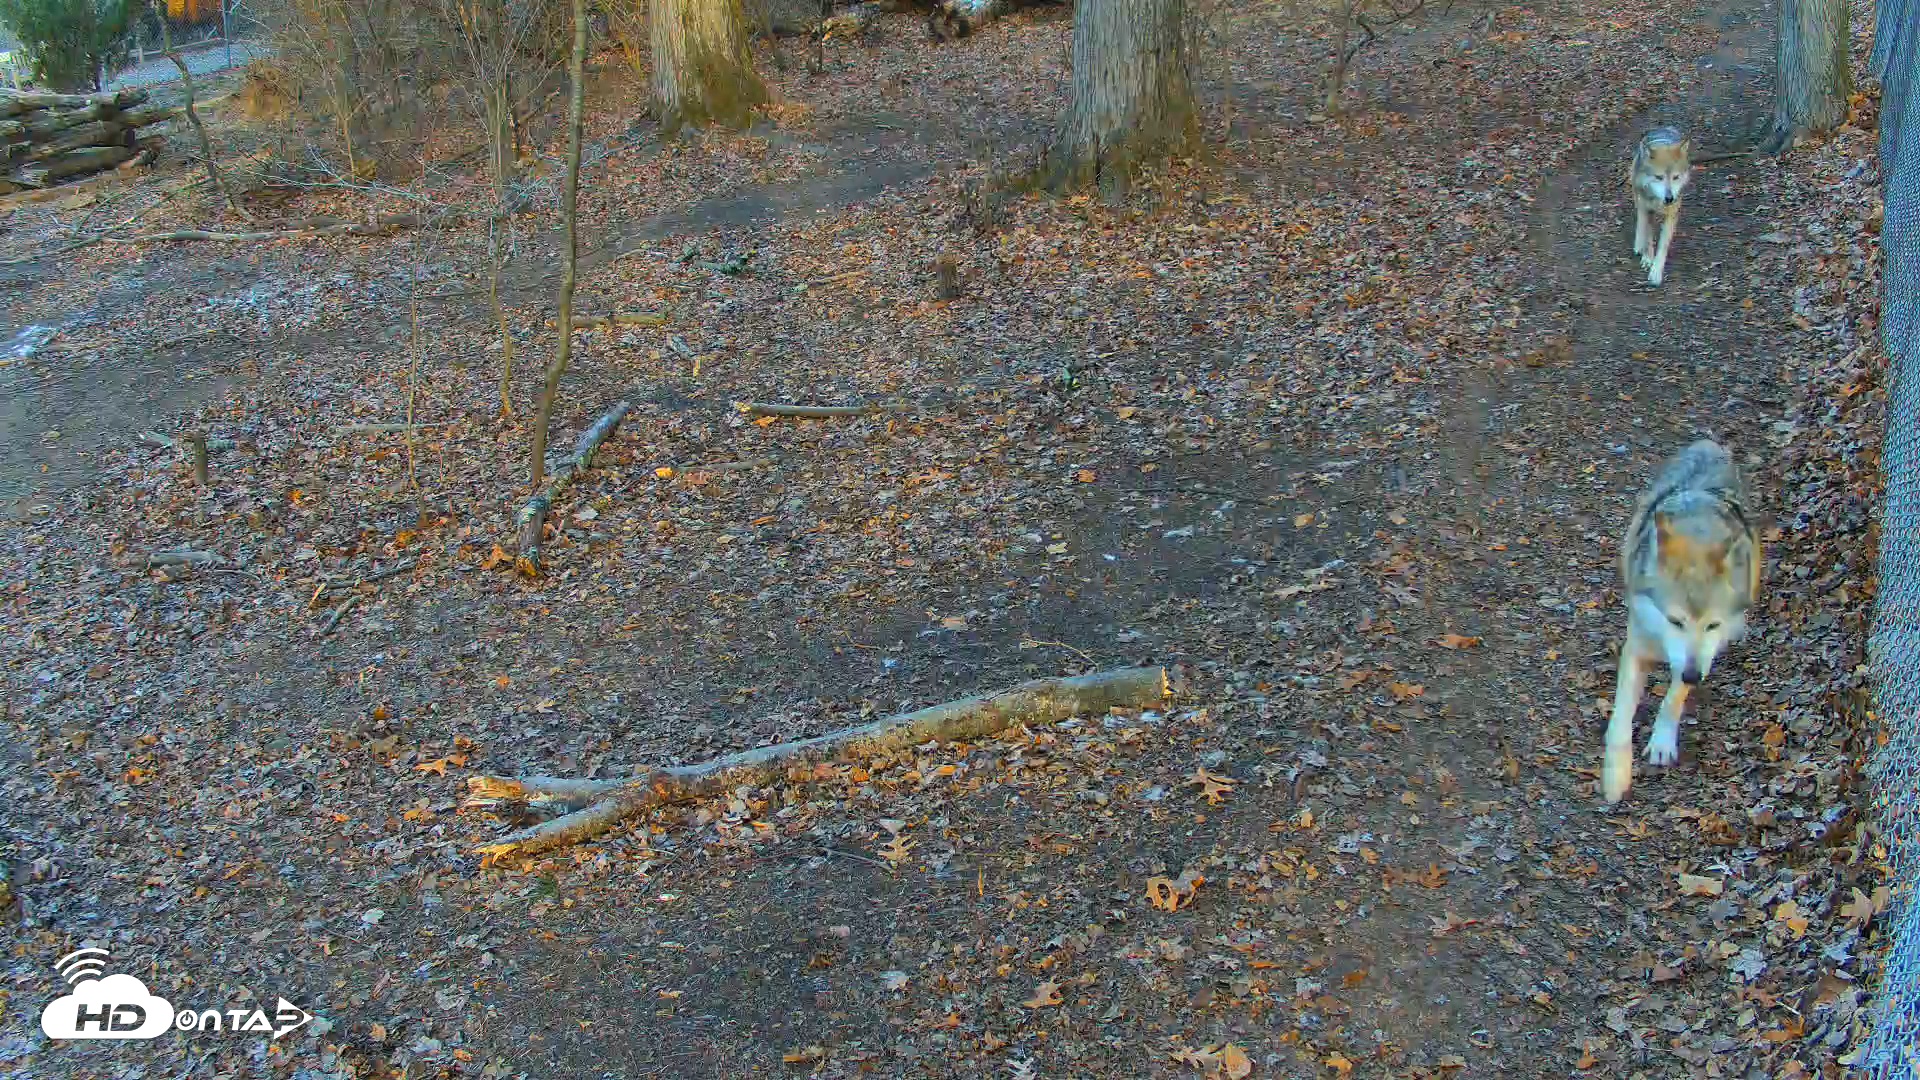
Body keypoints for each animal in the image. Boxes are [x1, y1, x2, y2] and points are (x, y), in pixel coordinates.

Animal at [1602, 439, 1761, 803]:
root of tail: (1708, 444)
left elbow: (1672, 699)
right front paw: (1615, 777)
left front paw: (1662, 743)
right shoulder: (1636, 649)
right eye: (1675, 622)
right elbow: (1620, 719)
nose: (1692, 675)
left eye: (1712, 625)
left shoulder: (1699, 659)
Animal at [1629, 126, 1692, 287]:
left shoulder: (1672, 215)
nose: (1669, 198)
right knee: (1640, 221)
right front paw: (1647, 258)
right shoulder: (1647, 211)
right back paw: (1638, 245)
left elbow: (1663, 246)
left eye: (1676, 177)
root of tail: (1663, 128)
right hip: (1638, 197)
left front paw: (1656, 272)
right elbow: (1648, 237)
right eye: (1659, 177)